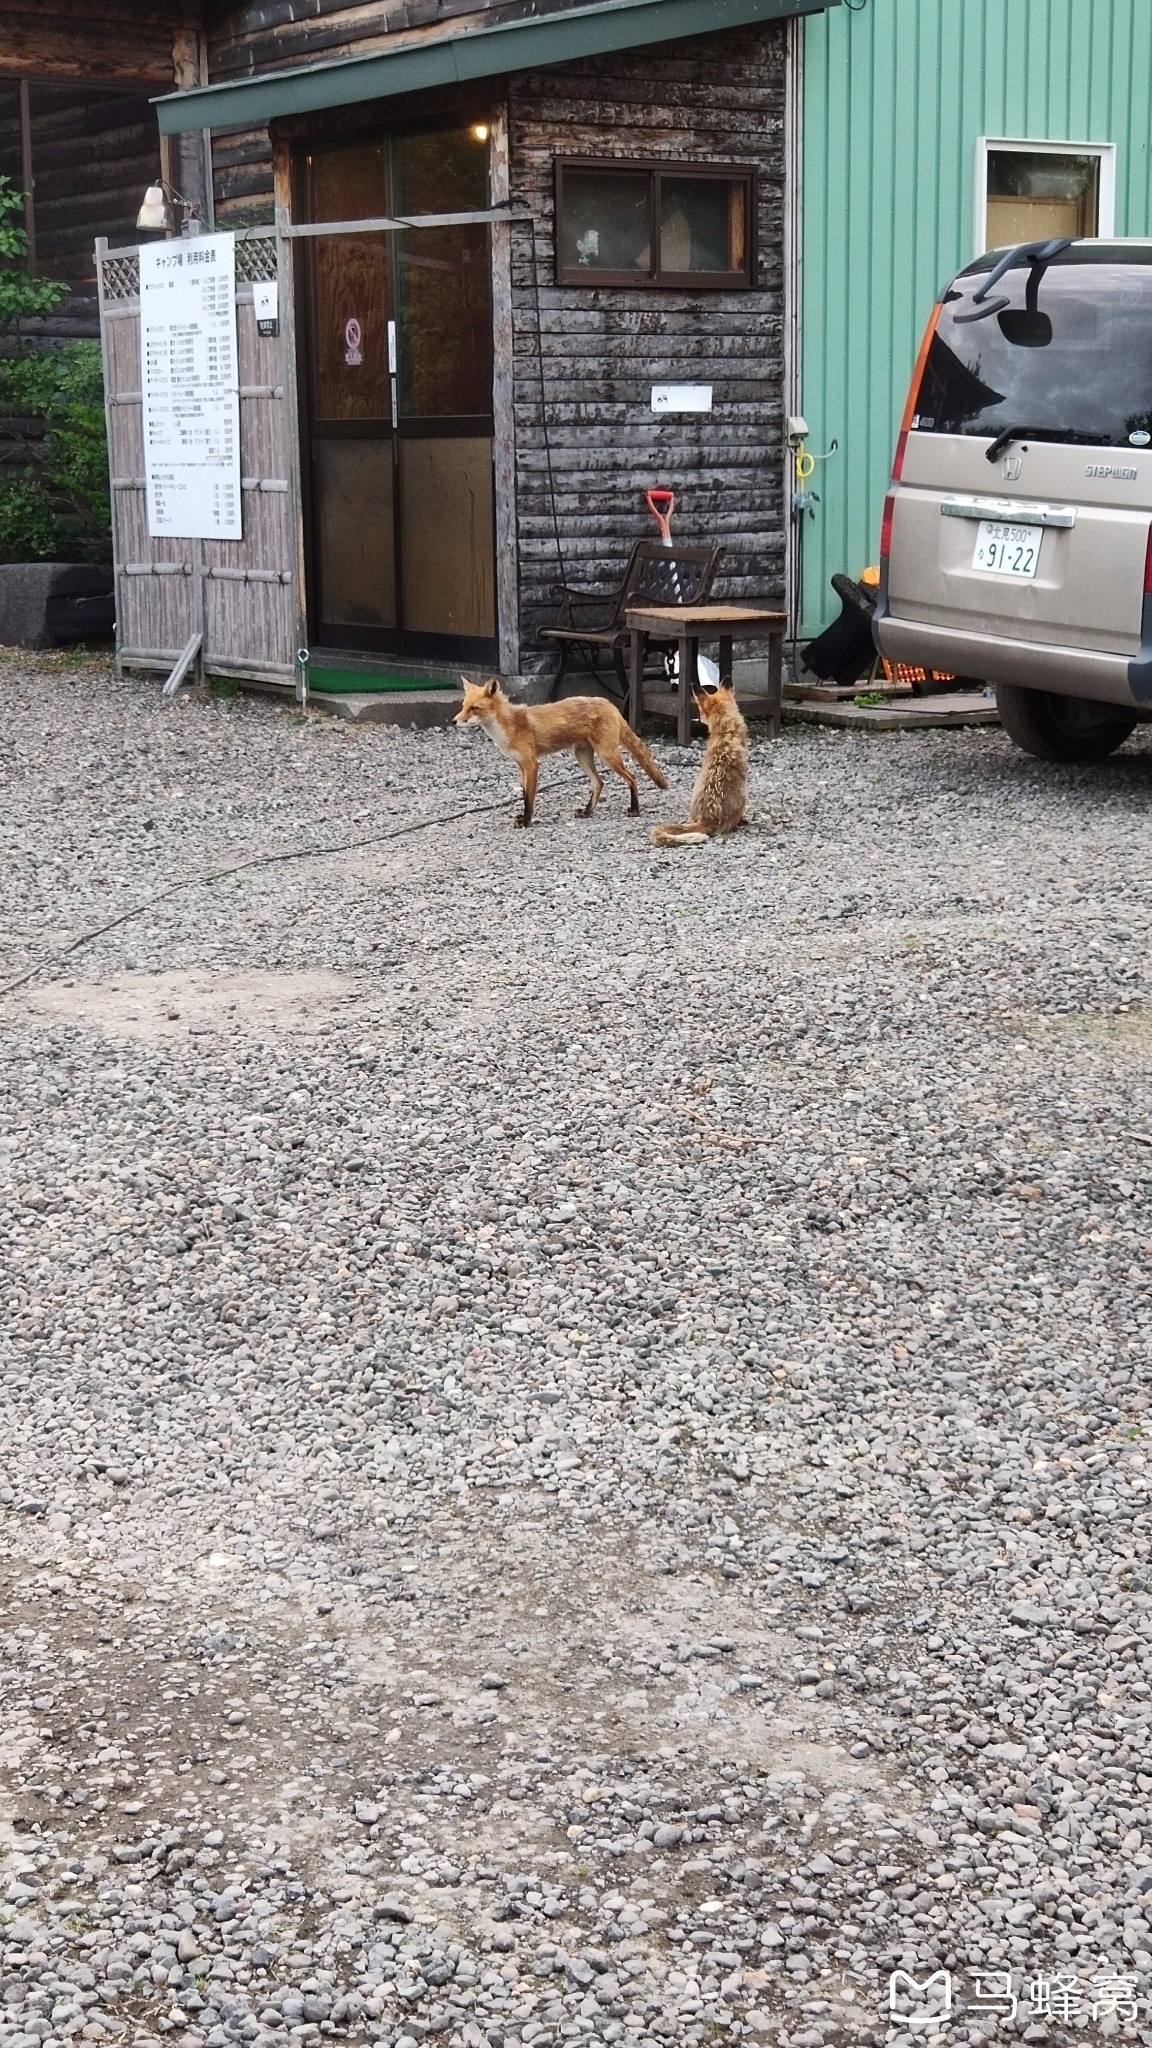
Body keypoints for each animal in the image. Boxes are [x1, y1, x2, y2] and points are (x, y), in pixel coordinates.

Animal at [450, 675, 664, 827]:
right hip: (582, 756)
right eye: (463, 706)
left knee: (632, 777)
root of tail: (610, 704)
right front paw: (524, 818)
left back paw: (634, 809)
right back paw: (587, 811)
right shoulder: (520, 765)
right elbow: (524, 794)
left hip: (607, 755)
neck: (510, 726)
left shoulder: (532, 764)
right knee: (599, 783)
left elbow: (529, 798)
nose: (454, 721)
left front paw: (526, 822)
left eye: (474, 708)